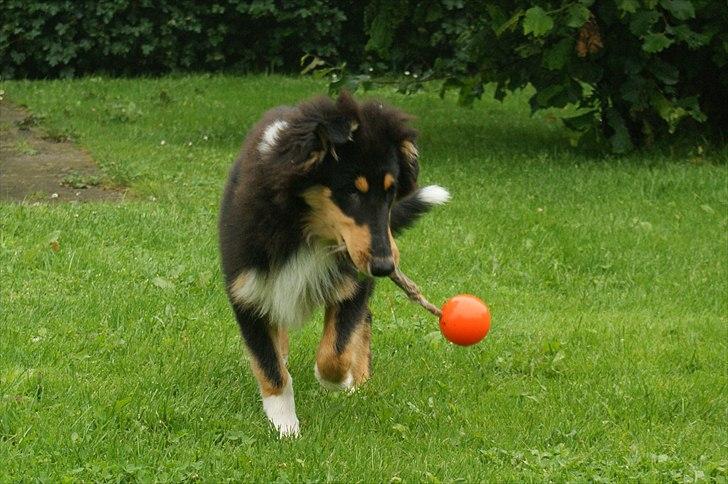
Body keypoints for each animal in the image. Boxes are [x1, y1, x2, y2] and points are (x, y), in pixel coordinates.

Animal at [216, 90, 450, 434]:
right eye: (351, 191)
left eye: (391, 192)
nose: (385, 268)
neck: (304, 230)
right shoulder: (247, 291)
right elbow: (269, 365)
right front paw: (285, 426)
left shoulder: (353, 283)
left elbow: (335, 352)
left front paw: (342, 381)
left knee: (364, 320)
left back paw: (360, 380)